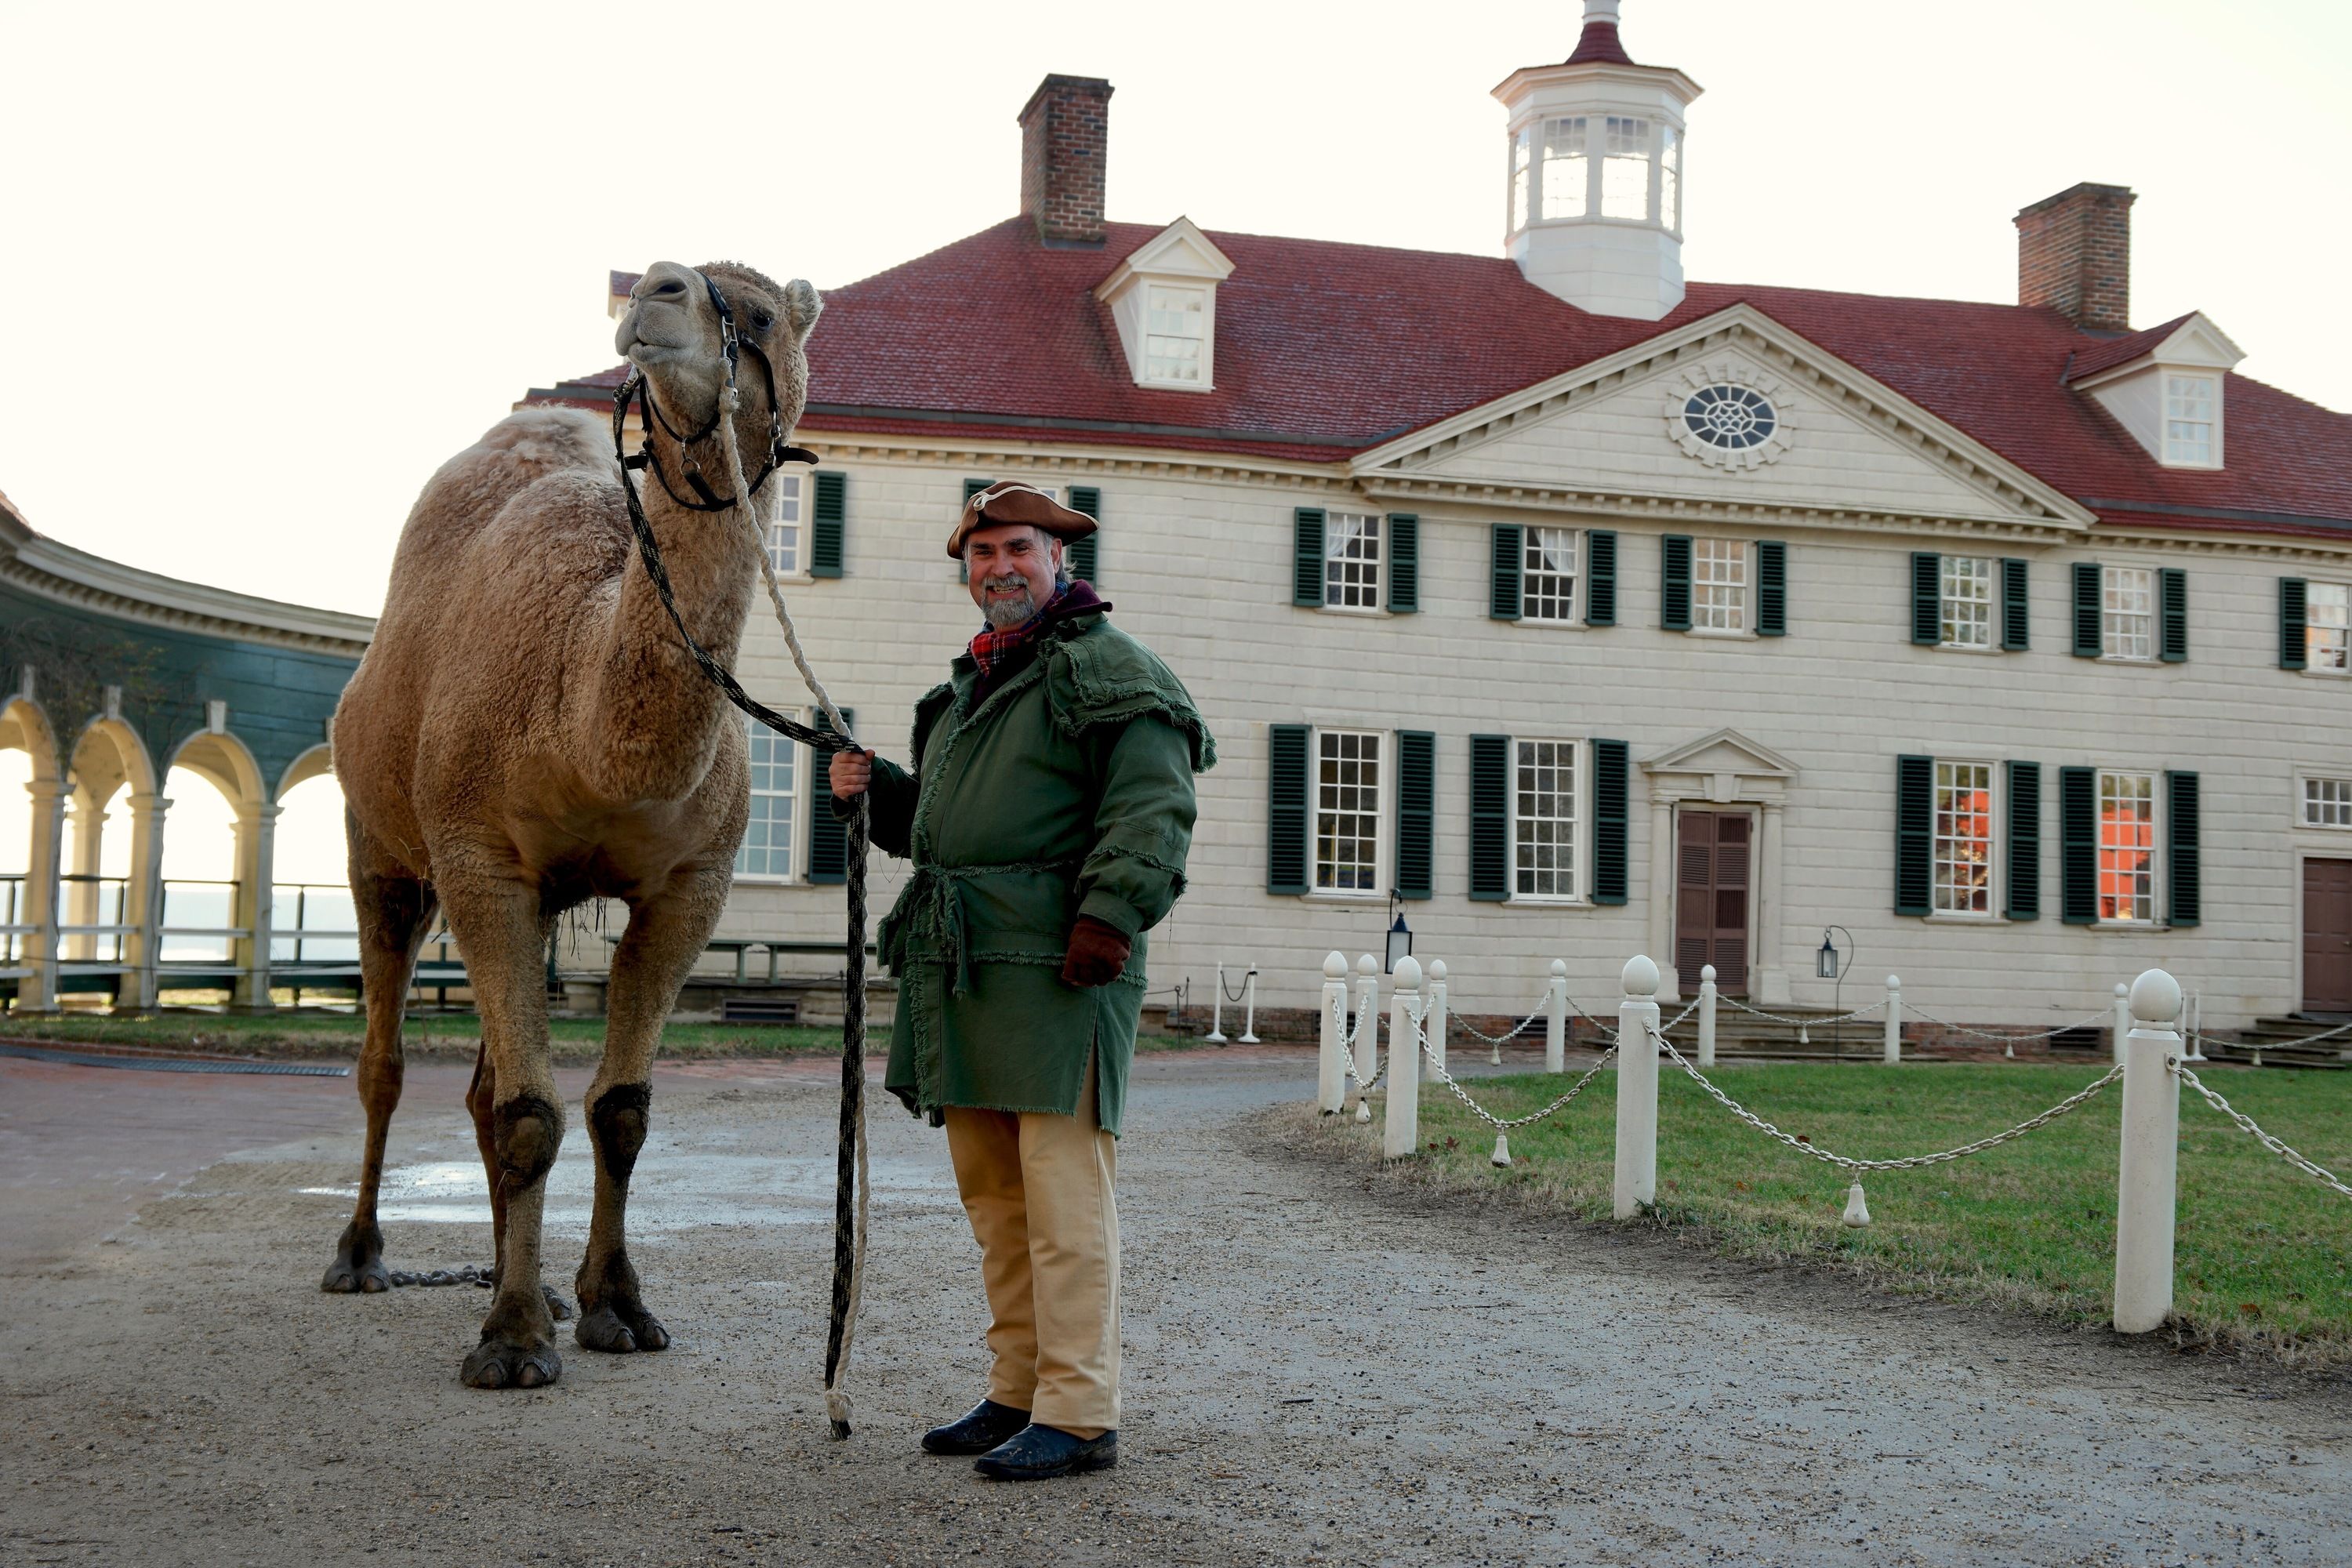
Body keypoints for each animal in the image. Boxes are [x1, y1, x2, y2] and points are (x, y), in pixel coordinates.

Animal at [321, 260, 822, 1389]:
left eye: (759, 311)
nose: (658, 288)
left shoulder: (690, 885)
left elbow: (618, 1110)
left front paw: (611, 1306)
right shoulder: (478, 855)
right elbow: (529, 1114)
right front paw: (510, 1341)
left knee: (478, 1087)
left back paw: (536, 1280)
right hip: (381, 846)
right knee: (384, 1065)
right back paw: (362, 1257)